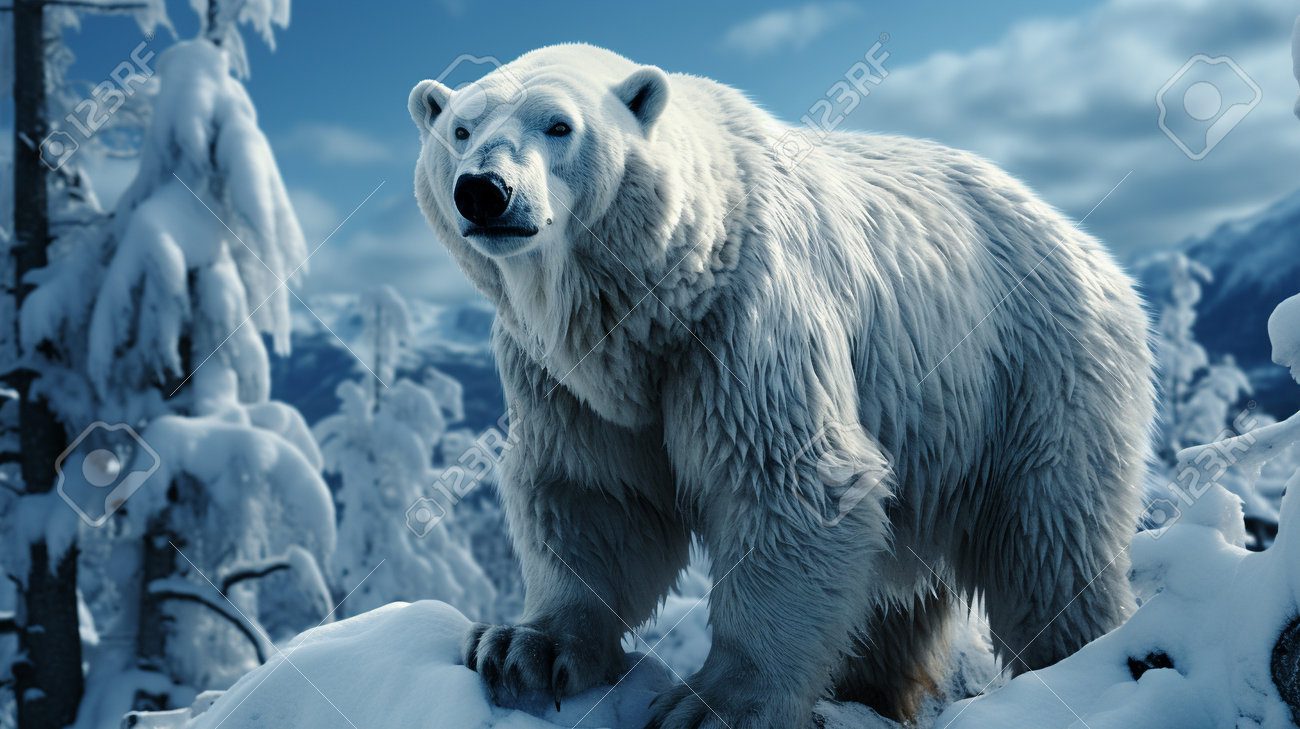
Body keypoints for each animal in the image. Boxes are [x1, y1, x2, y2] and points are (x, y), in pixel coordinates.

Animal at [408, 44, 1154, 728]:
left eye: (558, 125)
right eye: (461, 130)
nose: (484, 190)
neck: (659, 290)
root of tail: (1092, 249)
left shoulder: (741, 319)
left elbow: (788, 479)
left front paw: (714, 704)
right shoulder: (564, 375)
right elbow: (593, 491)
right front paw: (521, 647)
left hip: (1037, 369)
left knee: (1049, 542)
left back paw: (1083, 666)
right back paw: (873, 689)